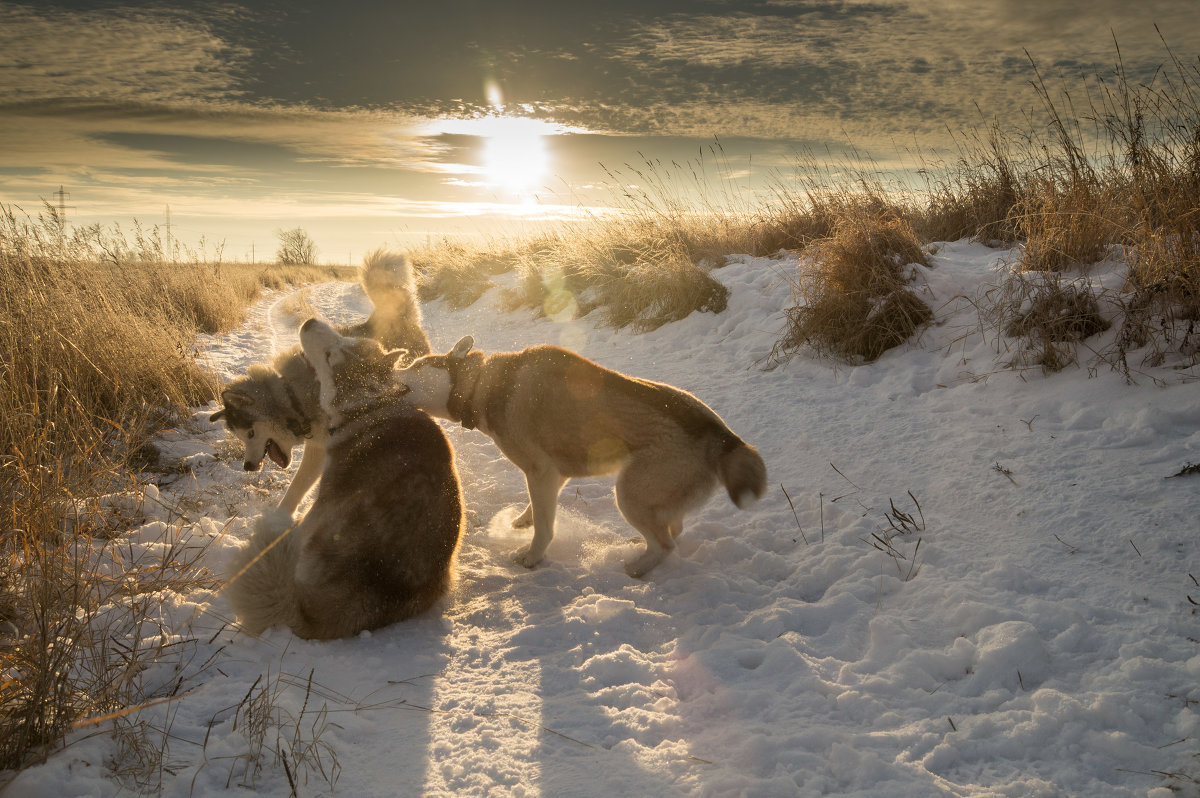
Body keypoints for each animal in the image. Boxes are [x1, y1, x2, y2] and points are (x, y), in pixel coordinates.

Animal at [208, 250, 429, 523]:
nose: (248, 467)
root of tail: (388, 314)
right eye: (239, 437)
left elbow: (299, 485)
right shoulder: (317, 445)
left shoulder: (321, 449)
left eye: (250, 434)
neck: (292, 397)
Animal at [393, 333, 768, 576]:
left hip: (628, 493)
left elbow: (545, 528)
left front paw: (532, 557)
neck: (482, 384)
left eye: (416, 363)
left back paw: (638, 567)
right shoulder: (554, 475)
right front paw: (523, 520)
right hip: (652, 495)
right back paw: (640, 544)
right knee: (672, 529)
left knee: (666, 545)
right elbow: (537, 511)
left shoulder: (541, 471)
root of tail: (722, 435)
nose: (388, 367)